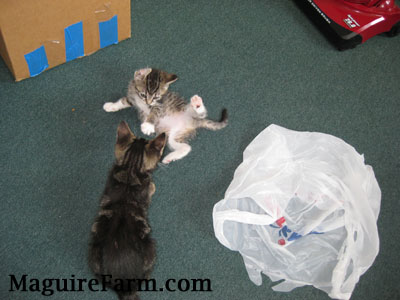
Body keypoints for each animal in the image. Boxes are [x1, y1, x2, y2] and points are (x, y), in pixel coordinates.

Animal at [88, 121, 166, 300]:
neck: (130, 168)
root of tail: (125, 285)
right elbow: (149, 189)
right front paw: (153, 186)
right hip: (151, 248)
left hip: (94, 255)